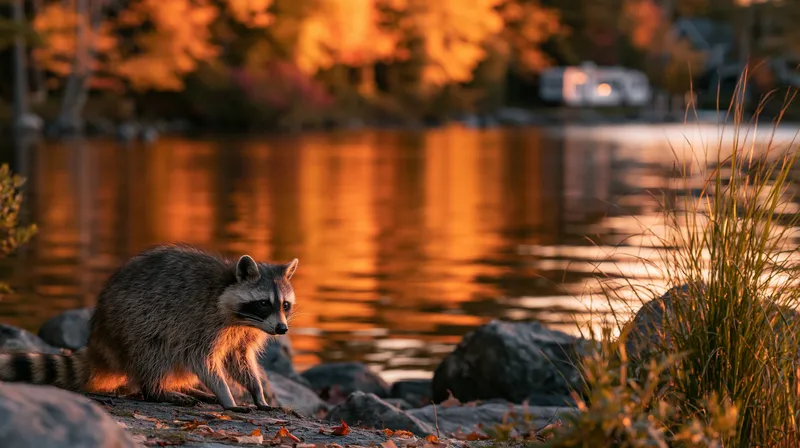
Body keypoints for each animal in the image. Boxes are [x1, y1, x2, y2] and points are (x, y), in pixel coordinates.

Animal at [0, 243, 299, 413]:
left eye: (285, 305)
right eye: (264, 303)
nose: (282, 330)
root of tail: (101, 338)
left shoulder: (242, 334)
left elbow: (239, 360)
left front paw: (256, 391)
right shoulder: (202, 322)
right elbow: (202, 360)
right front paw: (227, 395)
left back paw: (187, 388)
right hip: (136, 324)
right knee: (154, 353)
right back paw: (158, 390)